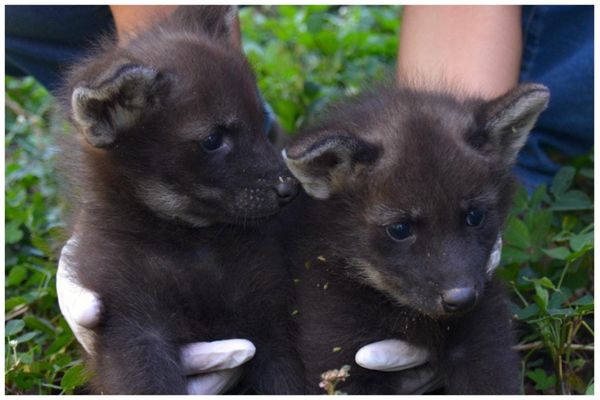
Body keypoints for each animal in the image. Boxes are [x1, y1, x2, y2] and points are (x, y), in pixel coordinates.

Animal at [61, 5, 302, 394]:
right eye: (212, 140)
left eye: (260, 122)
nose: (289, 189)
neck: (188, 241)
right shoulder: (135, 328)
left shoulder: (268, 313)